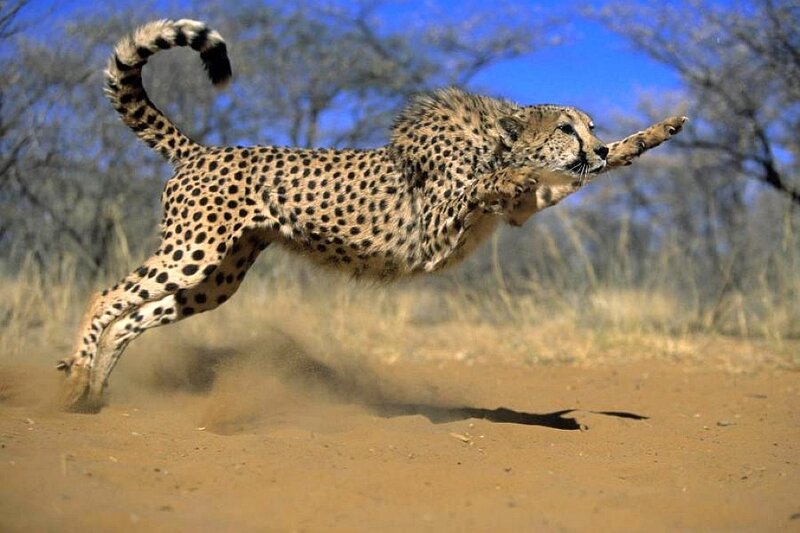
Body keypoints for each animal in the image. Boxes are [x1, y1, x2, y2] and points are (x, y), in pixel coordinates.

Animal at [57, 19, 687, 412]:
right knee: (106, 296)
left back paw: (97, 390)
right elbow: (492, 184)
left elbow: (569, 179)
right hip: (193, 251)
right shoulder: (435, 226)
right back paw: (78, 379)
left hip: (218, 277)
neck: (495, 142)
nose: (593, 148)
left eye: (591, 127)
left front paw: (655, 133)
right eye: (565, 128)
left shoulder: (522, 211)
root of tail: (201, 149)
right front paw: (520, 173)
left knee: (134, 317)